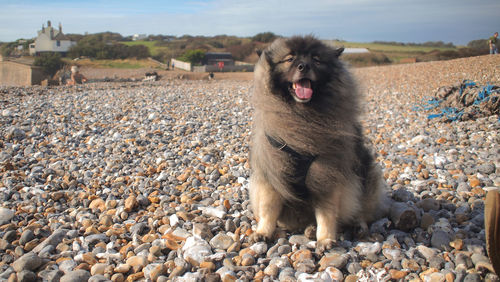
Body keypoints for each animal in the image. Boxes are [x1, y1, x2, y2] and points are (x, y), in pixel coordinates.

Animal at [250, 35, 386, 251]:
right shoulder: (272, 173)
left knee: (362, 211)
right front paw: (263, 232)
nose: (304, 66)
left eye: (316, 59)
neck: (302, 117)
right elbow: (268, 209)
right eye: (290, 59)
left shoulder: (327, 176)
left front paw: (325, 239)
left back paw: (358, 227)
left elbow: (327, 213)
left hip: (367, 174)